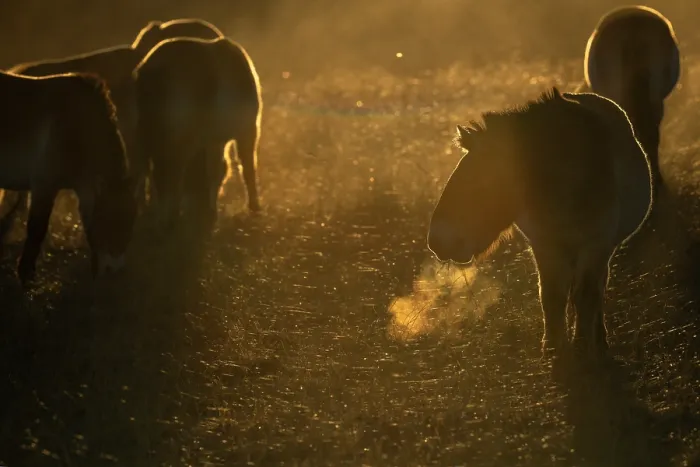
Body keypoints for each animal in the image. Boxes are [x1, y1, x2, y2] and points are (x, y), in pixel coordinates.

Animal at [0, 70, 137, 285]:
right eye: (107, 219)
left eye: (131, 221)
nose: (114, 272)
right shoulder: (44, 186)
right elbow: (36, 230)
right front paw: (26, 276)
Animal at [132, 36, 262, 231]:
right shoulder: (243, 130)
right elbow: (242, 166)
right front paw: (253, 207)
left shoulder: (212, 139)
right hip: (180, 136)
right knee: (172, 171)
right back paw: (170, 218)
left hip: (146, 132)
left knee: (150, 170)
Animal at [427, 87, 652, 361]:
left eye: (479, 183)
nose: (437, 241)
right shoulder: (545, 246)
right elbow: (552, 296)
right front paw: (553, 350)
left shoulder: (596, 244)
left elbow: (585, 295)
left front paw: (582, 348)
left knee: (596, 289)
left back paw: (598, 339)